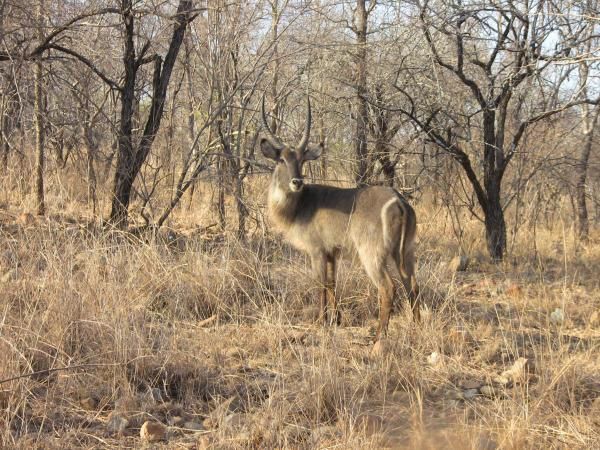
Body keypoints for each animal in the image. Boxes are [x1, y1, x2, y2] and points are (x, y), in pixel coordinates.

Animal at [260, 96, 420, 340]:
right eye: (281, 160)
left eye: (302, 160)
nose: (297, 182)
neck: (300, 205)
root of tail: (399, 201)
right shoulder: (332, 252)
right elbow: (332, 283)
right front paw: (335, 319)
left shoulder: (316, 250)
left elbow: (319, 284)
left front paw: (320, 322)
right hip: (406, 251)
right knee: (413, 285)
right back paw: (417, 329)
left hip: (372, 254)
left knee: (388, 288)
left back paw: (379, 338)